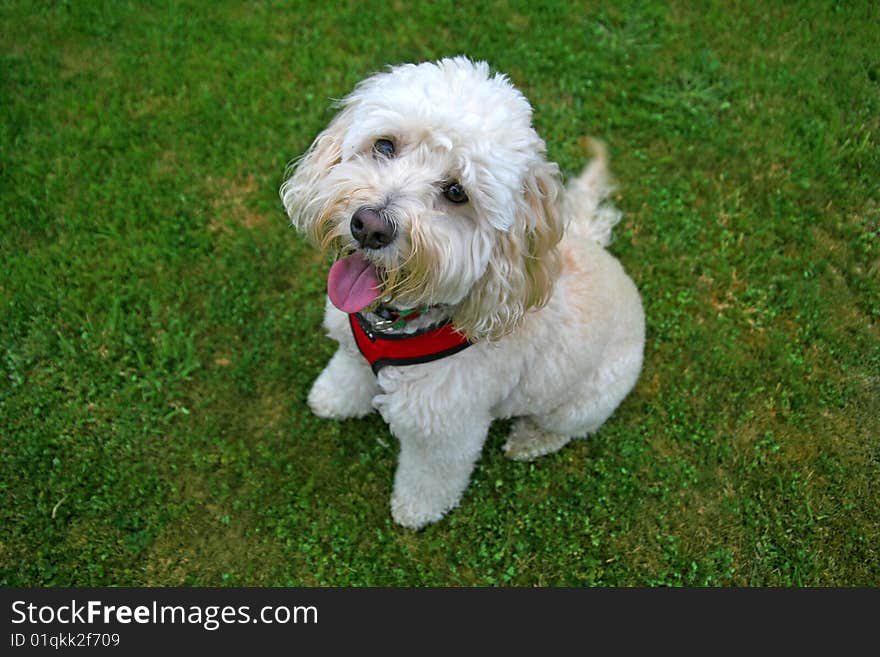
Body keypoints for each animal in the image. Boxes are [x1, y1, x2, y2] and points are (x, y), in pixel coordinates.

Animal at [282, 57, 648, 528]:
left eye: (456, 192)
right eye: (385, 146)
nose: (369, 226)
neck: (398, 322)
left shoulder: (446, 430)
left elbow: (430, 477)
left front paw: (415, 511)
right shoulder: (352, 346)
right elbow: (348, 371)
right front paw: (332, 398)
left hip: (583, 401)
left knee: (564, 428)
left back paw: (529, 440)